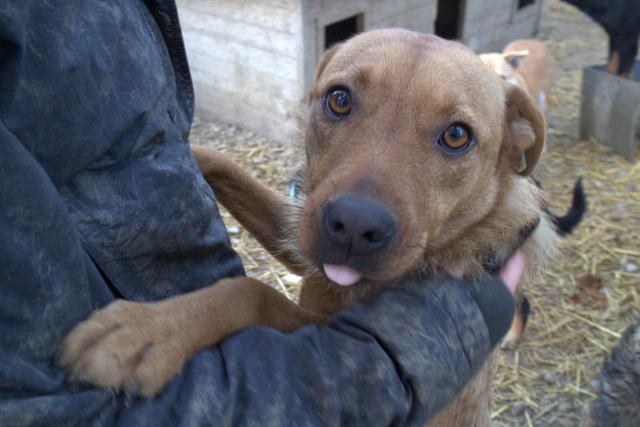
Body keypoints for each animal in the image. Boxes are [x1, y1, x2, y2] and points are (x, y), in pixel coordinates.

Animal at [61, 30, 560, 427]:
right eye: (338, 99)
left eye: (457, 136)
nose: (354, 227)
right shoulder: (298, 238)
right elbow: (220, 162)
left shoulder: (333, 335)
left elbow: (253, 294)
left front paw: (148, 331)